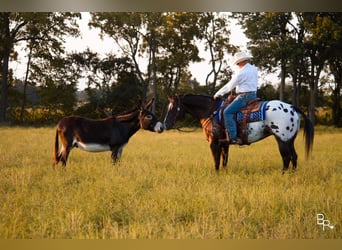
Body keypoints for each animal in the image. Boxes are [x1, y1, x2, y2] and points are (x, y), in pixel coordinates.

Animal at [164, 94, 314, 174]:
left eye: (173, 108)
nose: (165, 124)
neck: (211, 112)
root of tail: (291, 107)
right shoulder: (224, 144)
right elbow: (224, 160)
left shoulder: (214, 143)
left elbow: (216, 161)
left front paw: (216, 174)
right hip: (290, 140)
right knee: (294, 156)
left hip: (282, 139)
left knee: (286, 157)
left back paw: (283, 174)